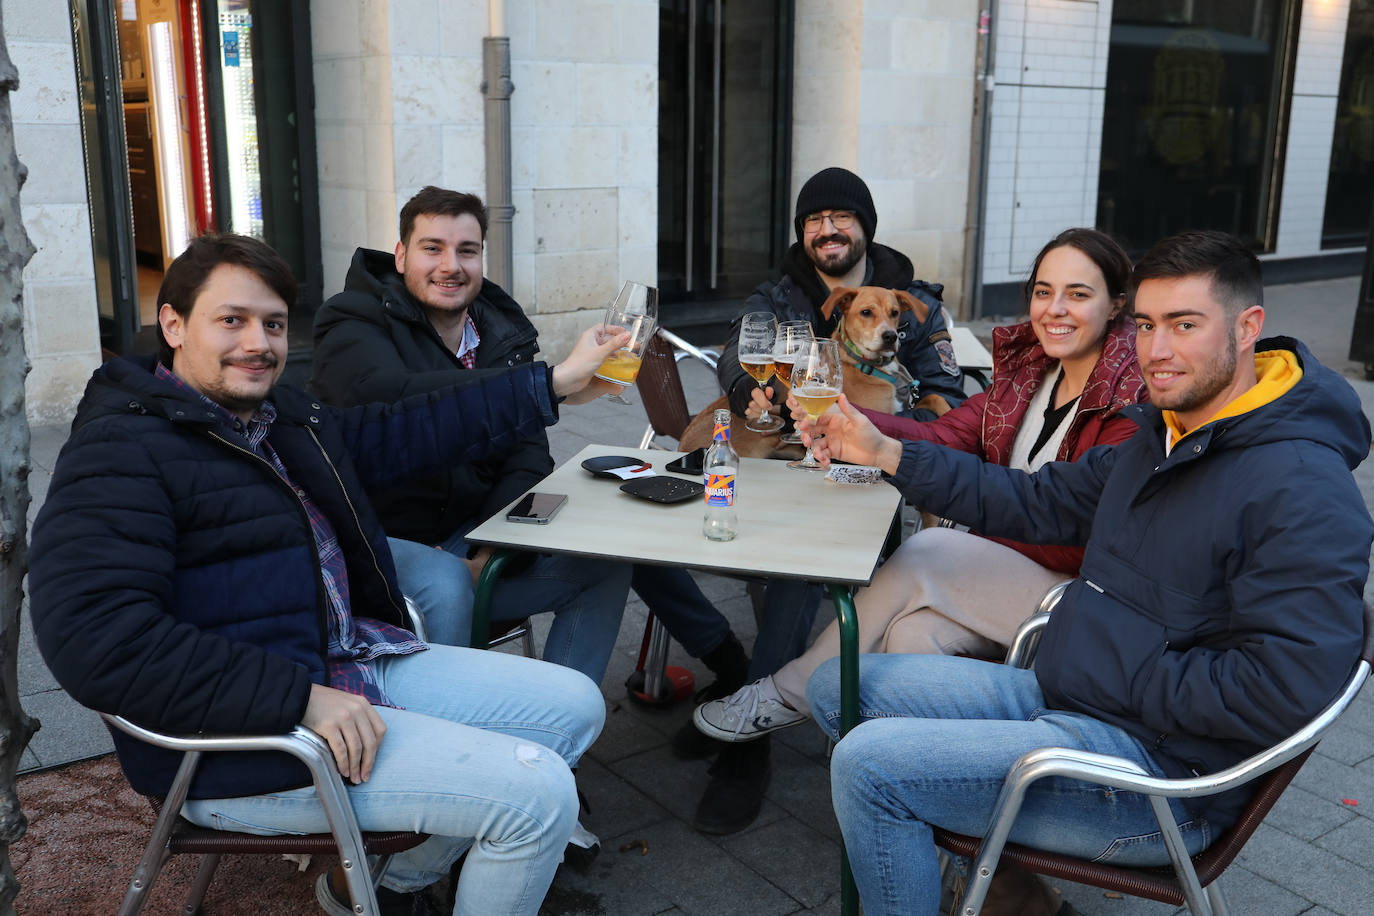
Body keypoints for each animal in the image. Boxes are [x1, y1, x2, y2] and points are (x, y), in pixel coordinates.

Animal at [678, 287, 956, 458]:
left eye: (895, 313)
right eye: (866, 312)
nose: (889, 337)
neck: (866, 366)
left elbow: (936, 397)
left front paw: (949, 416)